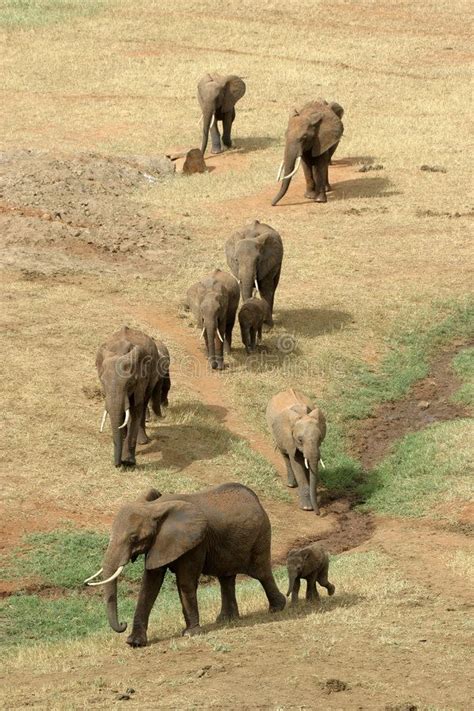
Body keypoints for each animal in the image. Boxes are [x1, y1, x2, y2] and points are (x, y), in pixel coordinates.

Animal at [84, 484, 286, 644]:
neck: (154, 508)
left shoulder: (195, 543)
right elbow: (150, 584)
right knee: (226, 577)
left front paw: (191, 634)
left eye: (134, 538)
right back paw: (226, 620)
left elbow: (185, 582)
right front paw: (134, 643)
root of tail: (256, 499)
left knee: (261, 572)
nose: (122, 624)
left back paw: (277, 608)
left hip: (261, 535)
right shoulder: (160, 543)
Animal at [96, 326, 170, 468]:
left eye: (130, 383)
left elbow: (135, 410)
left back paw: (143, 441)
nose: (117, 465)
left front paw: (128, 462)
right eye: (102, 382)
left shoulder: (141, 379)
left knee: (144, 403)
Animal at [264, 386, 328, 516]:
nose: (319, 513)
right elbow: (296, 462)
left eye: (320, 438)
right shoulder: (289, 439)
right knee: (285, 456)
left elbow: (308, 464)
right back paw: (291, 484)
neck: (302, 415)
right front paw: (307, 508)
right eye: (300, 440)